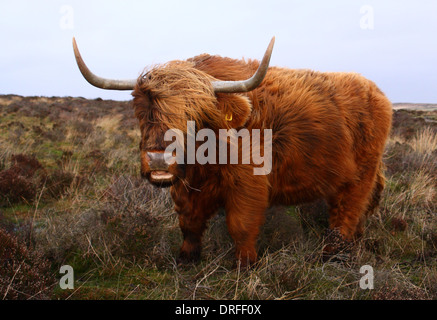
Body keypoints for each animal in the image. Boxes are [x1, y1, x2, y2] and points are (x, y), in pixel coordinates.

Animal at [72, 37, 392, 266]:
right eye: (142, 111)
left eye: (195, 114)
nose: (159, 158)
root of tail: (375, 91)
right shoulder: (186, 186)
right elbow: (188, 222)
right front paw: (186, 259)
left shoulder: (247, 184)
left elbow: (240, 225)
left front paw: (244, 265)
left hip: (360, 174)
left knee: (347, 211)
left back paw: (333, 255)